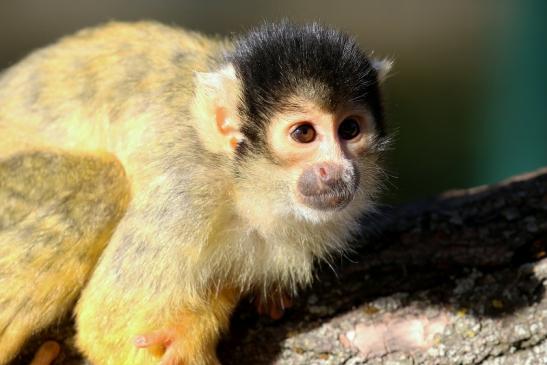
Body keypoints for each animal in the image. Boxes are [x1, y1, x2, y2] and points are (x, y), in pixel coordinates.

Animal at [0, 20, 394, 364]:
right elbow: (106, 320)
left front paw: (211, 315)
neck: (242, 185)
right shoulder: (186, 193)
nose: (338, 170)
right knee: (103, 185)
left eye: (349, 129)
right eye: (304, 134)